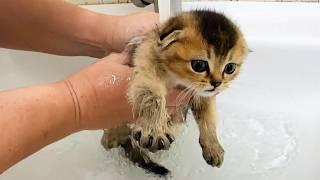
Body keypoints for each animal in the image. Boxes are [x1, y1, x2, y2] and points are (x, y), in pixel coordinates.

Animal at [100, 9, 248, 176]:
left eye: (230, 68)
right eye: (199, 65)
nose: (217, 83)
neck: (177, 79)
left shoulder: (202, 94)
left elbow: (208, 117)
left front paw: (213, 147)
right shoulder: (146, 65)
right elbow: (152, 96)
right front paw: (153, 130)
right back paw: (113, 138)